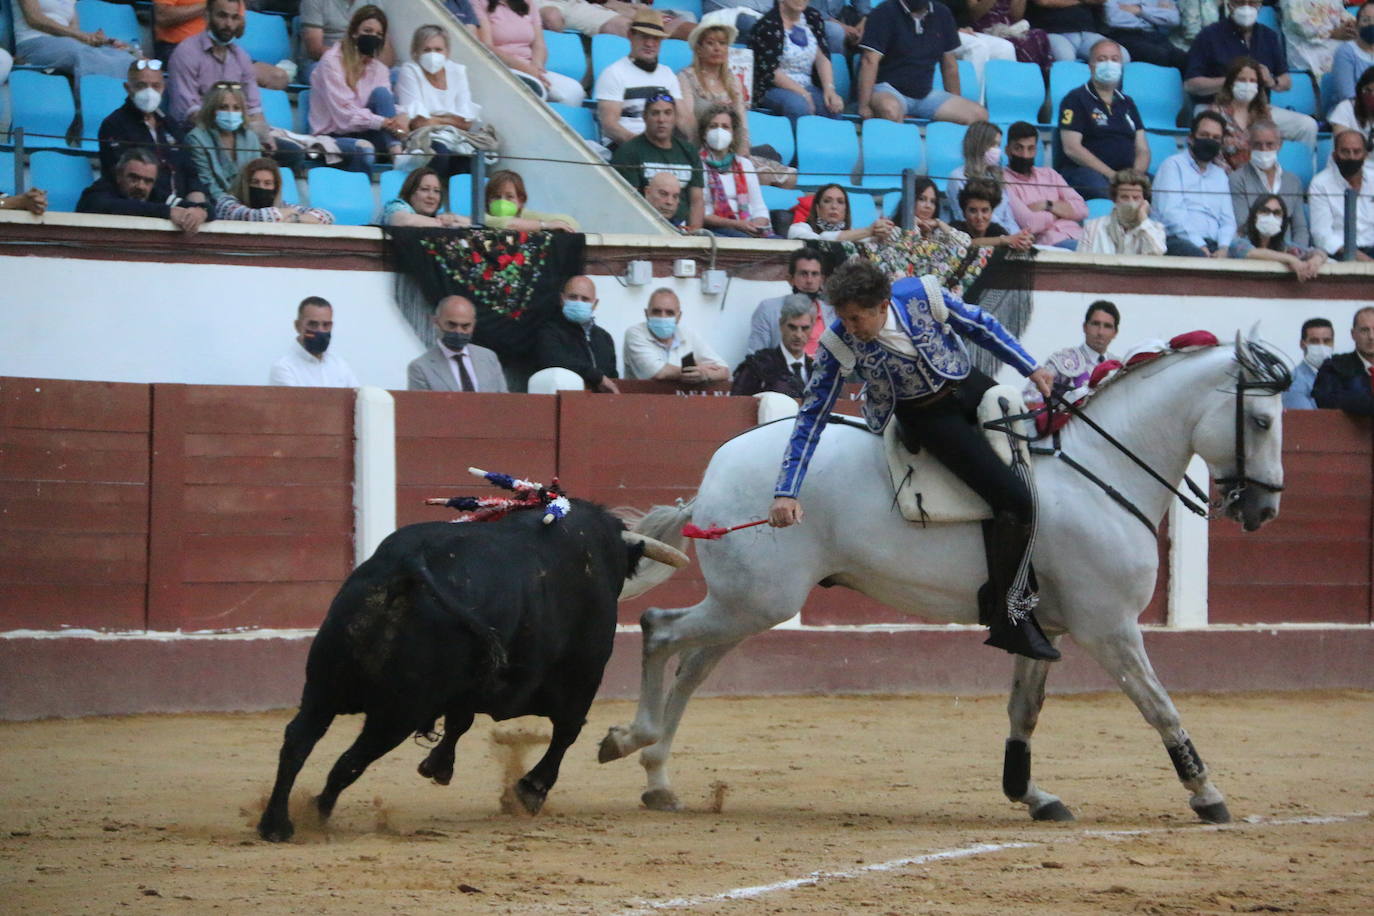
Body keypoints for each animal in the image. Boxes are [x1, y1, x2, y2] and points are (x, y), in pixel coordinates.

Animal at [258, 502, 687, 845]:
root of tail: (408, 565)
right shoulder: (583, 674)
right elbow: (566, 732)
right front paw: (531, 790)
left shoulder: (466, 685)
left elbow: (459, 720)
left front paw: (438, 765)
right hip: (397, 712)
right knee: (350, 760)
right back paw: (316, 812)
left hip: (322, 687)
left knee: (298, 741)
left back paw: (276, 824)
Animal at [607, 329, 1291, 823]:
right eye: (1261, 421)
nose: (1263, 509)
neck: (1101, 471)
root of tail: (712, 479)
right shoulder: (1110, 628)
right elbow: (1159, 706)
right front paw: (1207, 795)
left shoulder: (1045, 629)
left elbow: (1024, 711)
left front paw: (1031, 794)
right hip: (756, 601)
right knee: (660, 629)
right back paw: (631, 740)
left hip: (747, 604)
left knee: (692, 664)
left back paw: (658, 778)